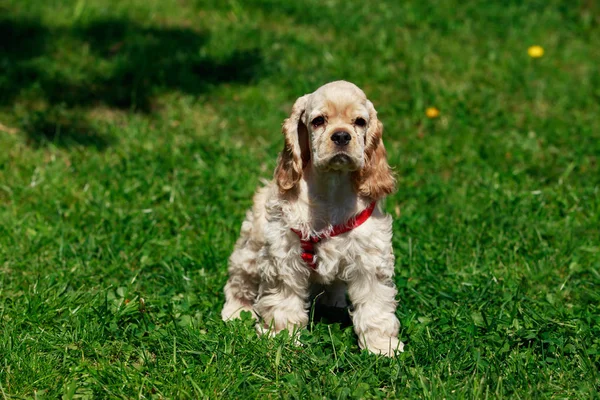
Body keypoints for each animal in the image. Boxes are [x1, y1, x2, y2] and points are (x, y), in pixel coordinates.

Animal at [220, 79, 404, 354]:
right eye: (318, 121)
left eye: (360, 122)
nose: (341, 136)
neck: (331, 187)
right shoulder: (284, 256)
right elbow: (283, 302)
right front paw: (282, 338)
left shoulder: (369, 258)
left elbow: (375, 305)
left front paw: (382, 347)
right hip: (250, 249)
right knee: (239, 281)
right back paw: (236, 312)